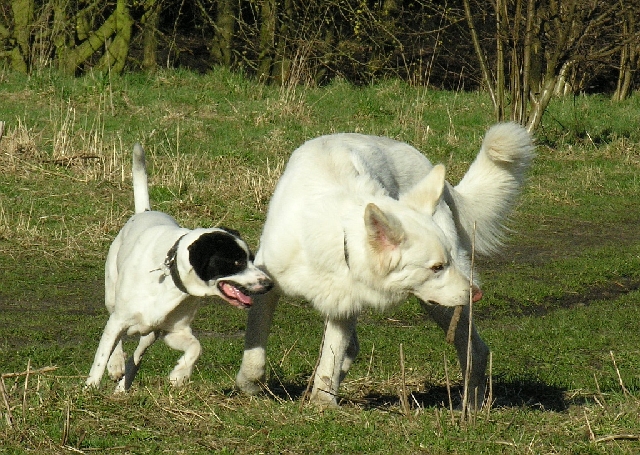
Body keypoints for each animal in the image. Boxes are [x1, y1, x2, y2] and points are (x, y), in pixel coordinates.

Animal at [85, 143, 272, 392]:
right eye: (236, 262)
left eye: (251, 258)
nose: (269, 284)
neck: (171, 280)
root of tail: (145, 212)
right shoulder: (118, 320)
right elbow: (103, 353)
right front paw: (90, 387)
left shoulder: (173, 331)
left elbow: (196, 347)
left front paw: (180, 374)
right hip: (112, 299)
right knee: (116, 343)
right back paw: (116, 367)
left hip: (150, 333)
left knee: (138, 355)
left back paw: (123, 387)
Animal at [235, 123, 536, 408]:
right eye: (437, 267)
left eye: (446, 263)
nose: (477, 293)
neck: (339, 237)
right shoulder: (269, 286)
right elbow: (255, 349)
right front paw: (250, 385)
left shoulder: (343, 306)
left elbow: (331, 358)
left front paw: (323, 402)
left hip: (441, 306)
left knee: (476, 351)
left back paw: (470, 408)